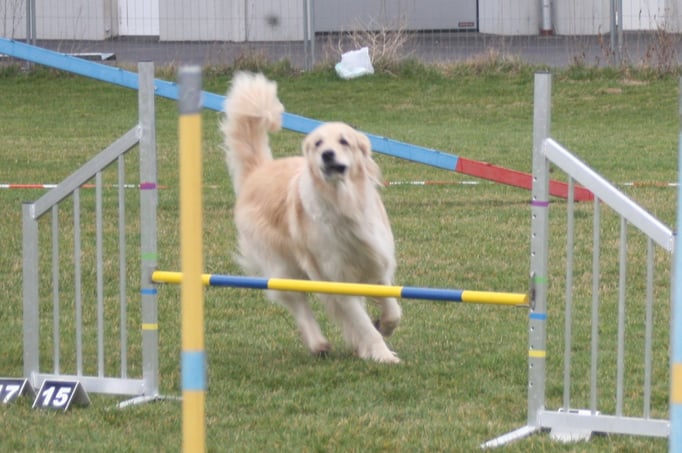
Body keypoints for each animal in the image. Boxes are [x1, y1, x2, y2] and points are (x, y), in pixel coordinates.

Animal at [221, 72, 401, 363]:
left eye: (344, 141)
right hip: (281, 265)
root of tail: (259, 171)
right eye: (318, 144)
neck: (343, 204)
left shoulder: (376, 260)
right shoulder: (334, 277)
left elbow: (392, 308)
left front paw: (383, 326)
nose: (327, 154)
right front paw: (382, 354)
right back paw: (319, 343)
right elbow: (361, 321)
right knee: (297, 302)